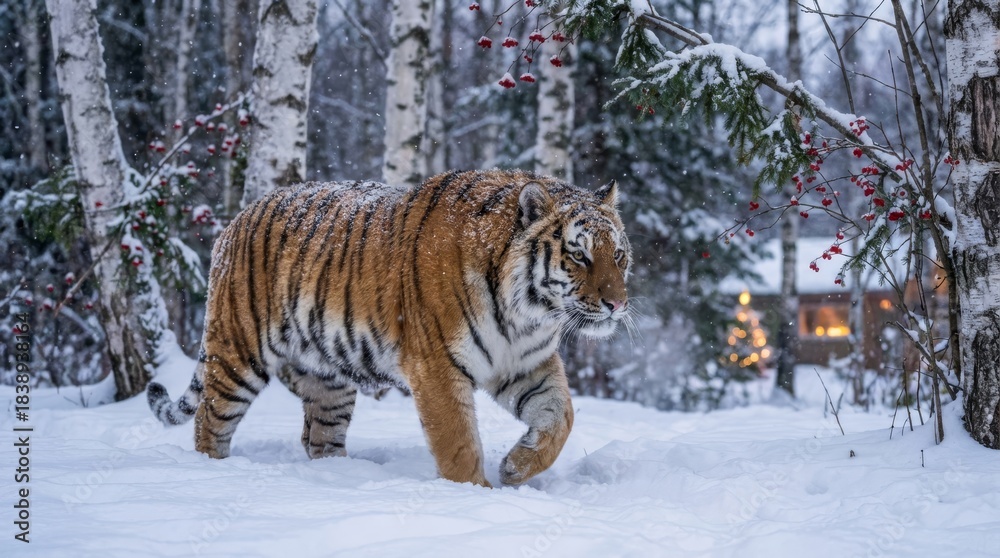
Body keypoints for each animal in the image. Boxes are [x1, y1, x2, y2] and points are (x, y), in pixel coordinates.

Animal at [148, 168, 631, 487]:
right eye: (580, 255)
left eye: (619, 255)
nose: (617, 305)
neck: (527, 314)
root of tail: (234, 222)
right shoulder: (436, 366)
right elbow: (458, 443)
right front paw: (476, 495)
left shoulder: (526, 364)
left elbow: (560, 417)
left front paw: (516, 467)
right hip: (238, 355)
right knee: (209, 422)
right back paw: (211, 472)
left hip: (328, 380)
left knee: (319, 437)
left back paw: (339, 478)